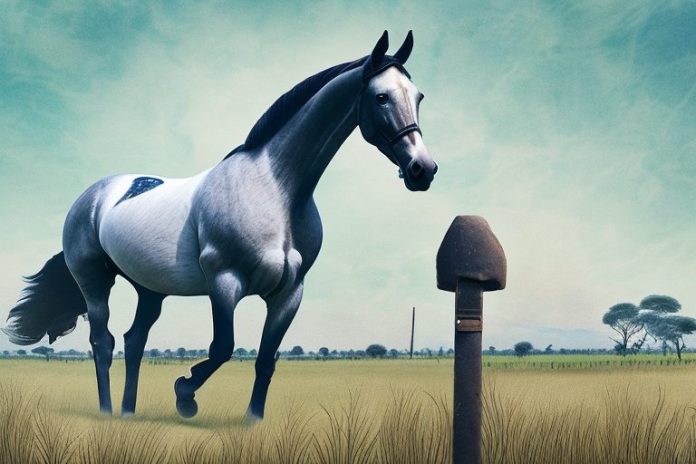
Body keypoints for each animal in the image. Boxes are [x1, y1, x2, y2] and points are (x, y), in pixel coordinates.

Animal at [2, 30, 437, 420]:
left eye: (417, 96)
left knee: (135, 339)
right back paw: (108, 412)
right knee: (103, 342)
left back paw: (128, 411)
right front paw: (184, 395)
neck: (274, 190)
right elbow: (223, 347)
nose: (423, 169)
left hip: (149, 290)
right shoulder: (225, 281)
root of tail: (91, 197)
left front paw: (252, 421)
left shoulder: (289, 293)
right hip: (95, 281)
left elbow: (266, 359)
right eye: (381, 96)